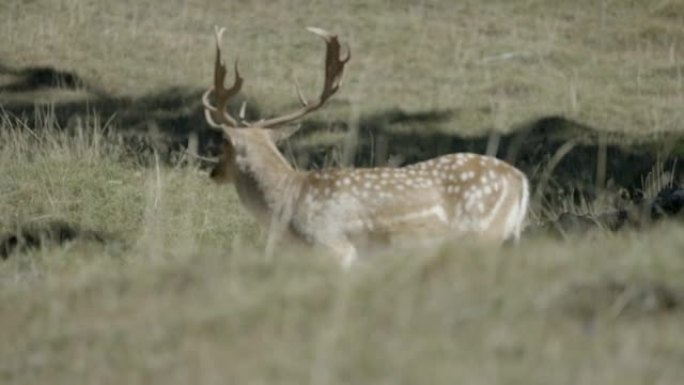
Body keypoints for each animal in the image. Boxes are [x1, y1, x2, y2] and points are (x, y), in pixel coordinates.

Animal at [200, 27, 532, 266]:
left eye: (223, 144)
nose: (213, 173)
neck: (289, 202)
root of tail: (520, 179)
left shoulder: (335, 247)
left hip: (484, 234)